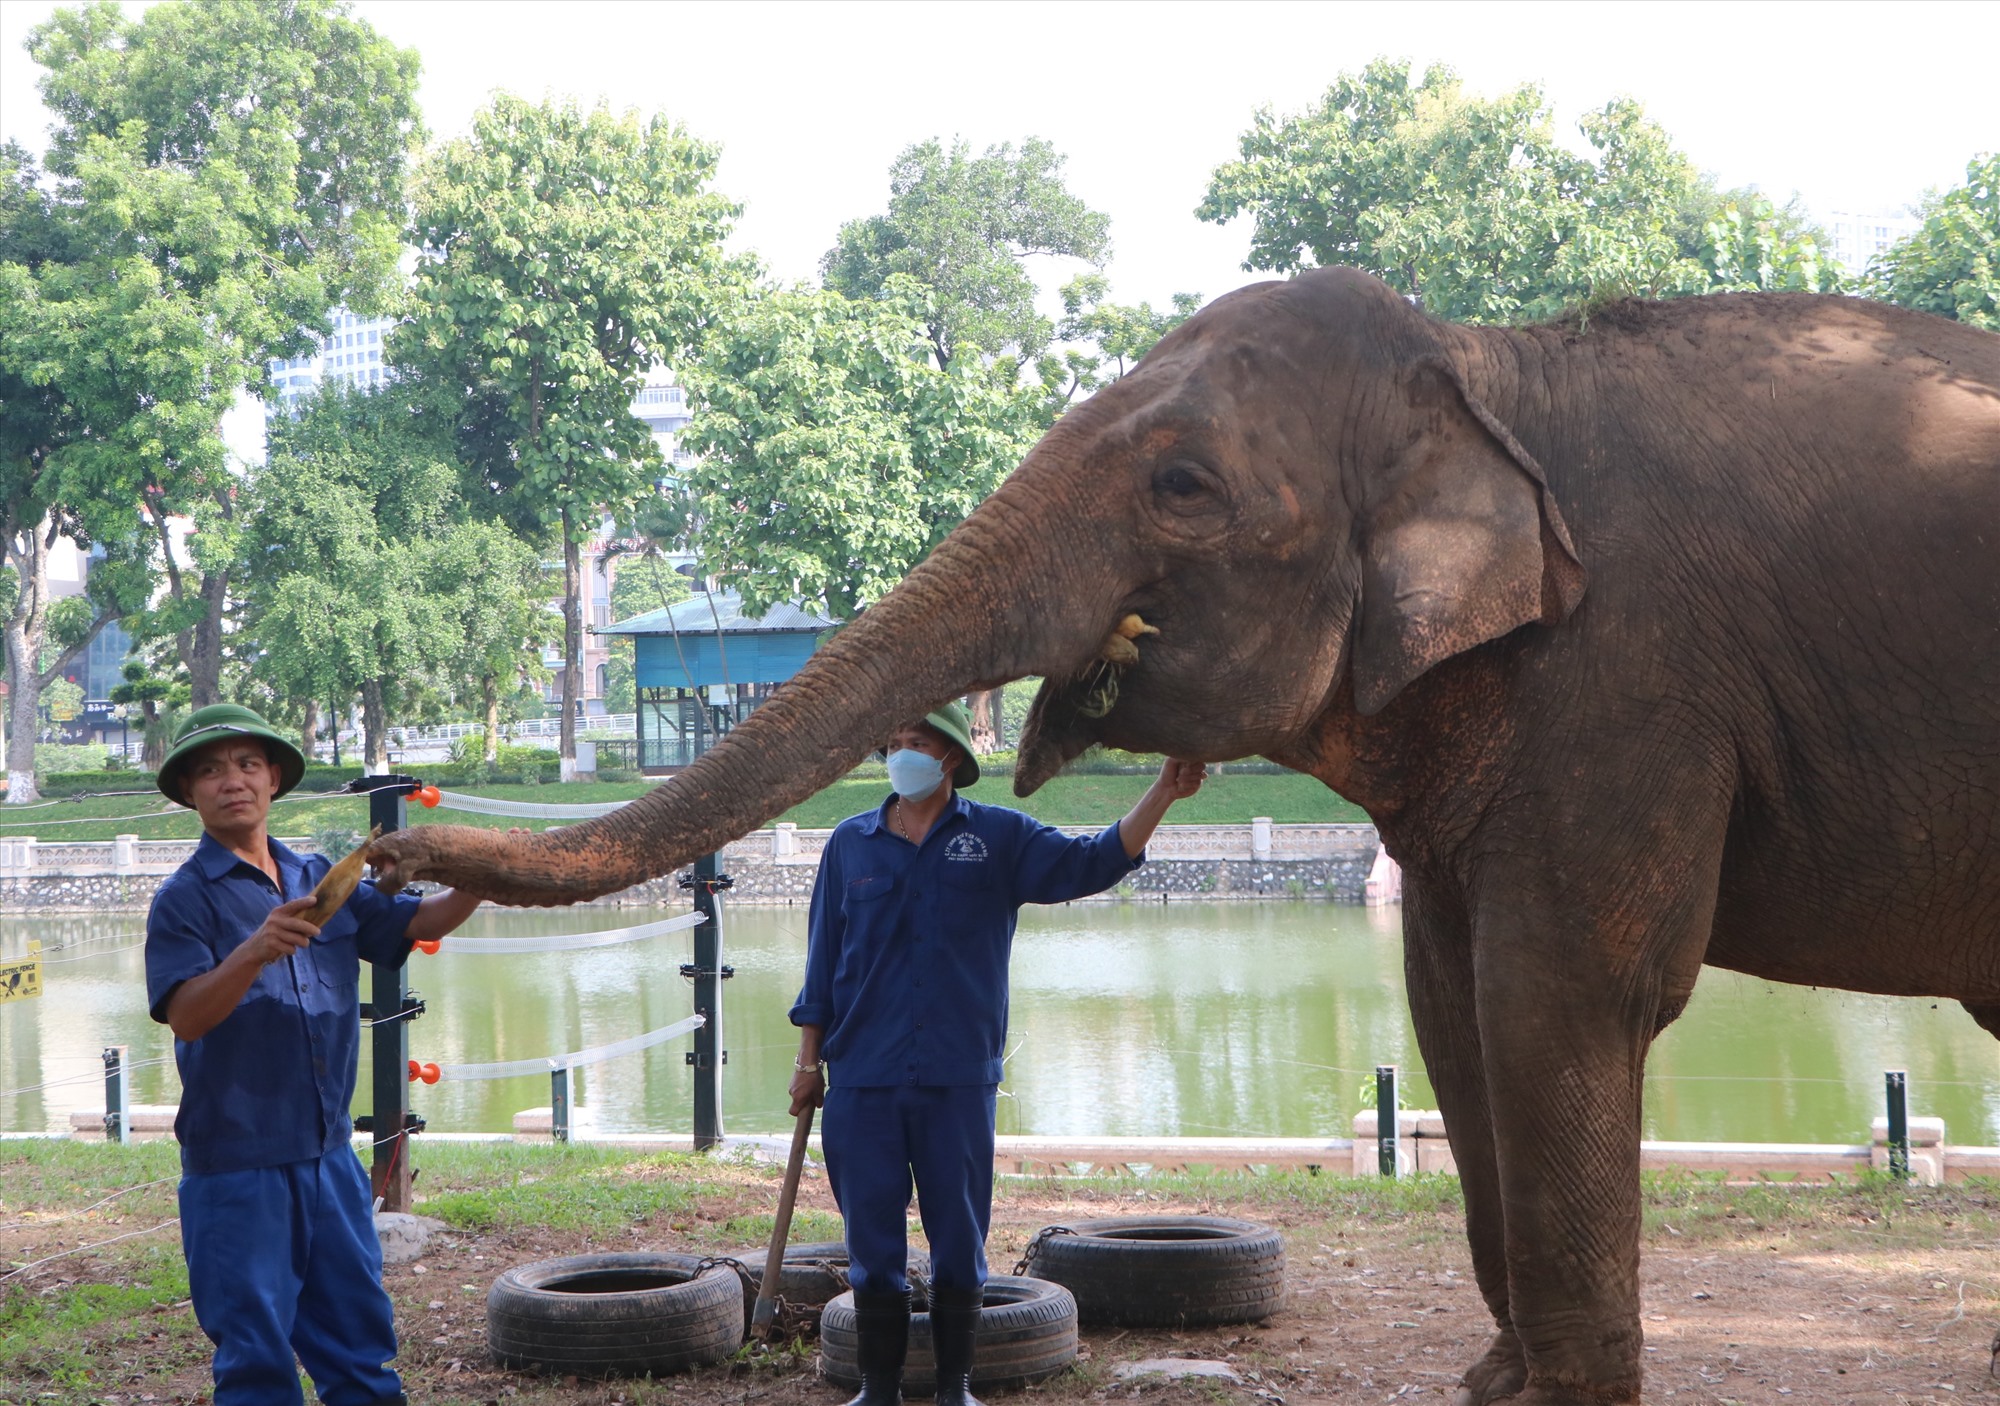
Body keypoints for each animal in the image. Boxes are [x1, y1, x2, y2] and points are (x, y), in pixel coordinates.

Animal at [378, 270, 2000, 1400]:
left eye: (1181, 485)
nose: (384, 862)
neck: (1488, 363)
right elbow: (1450, 1003)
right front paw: (1496, 1382)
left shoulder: (1632, 681)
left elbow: (1557, 995)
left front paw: (1560, 1395)